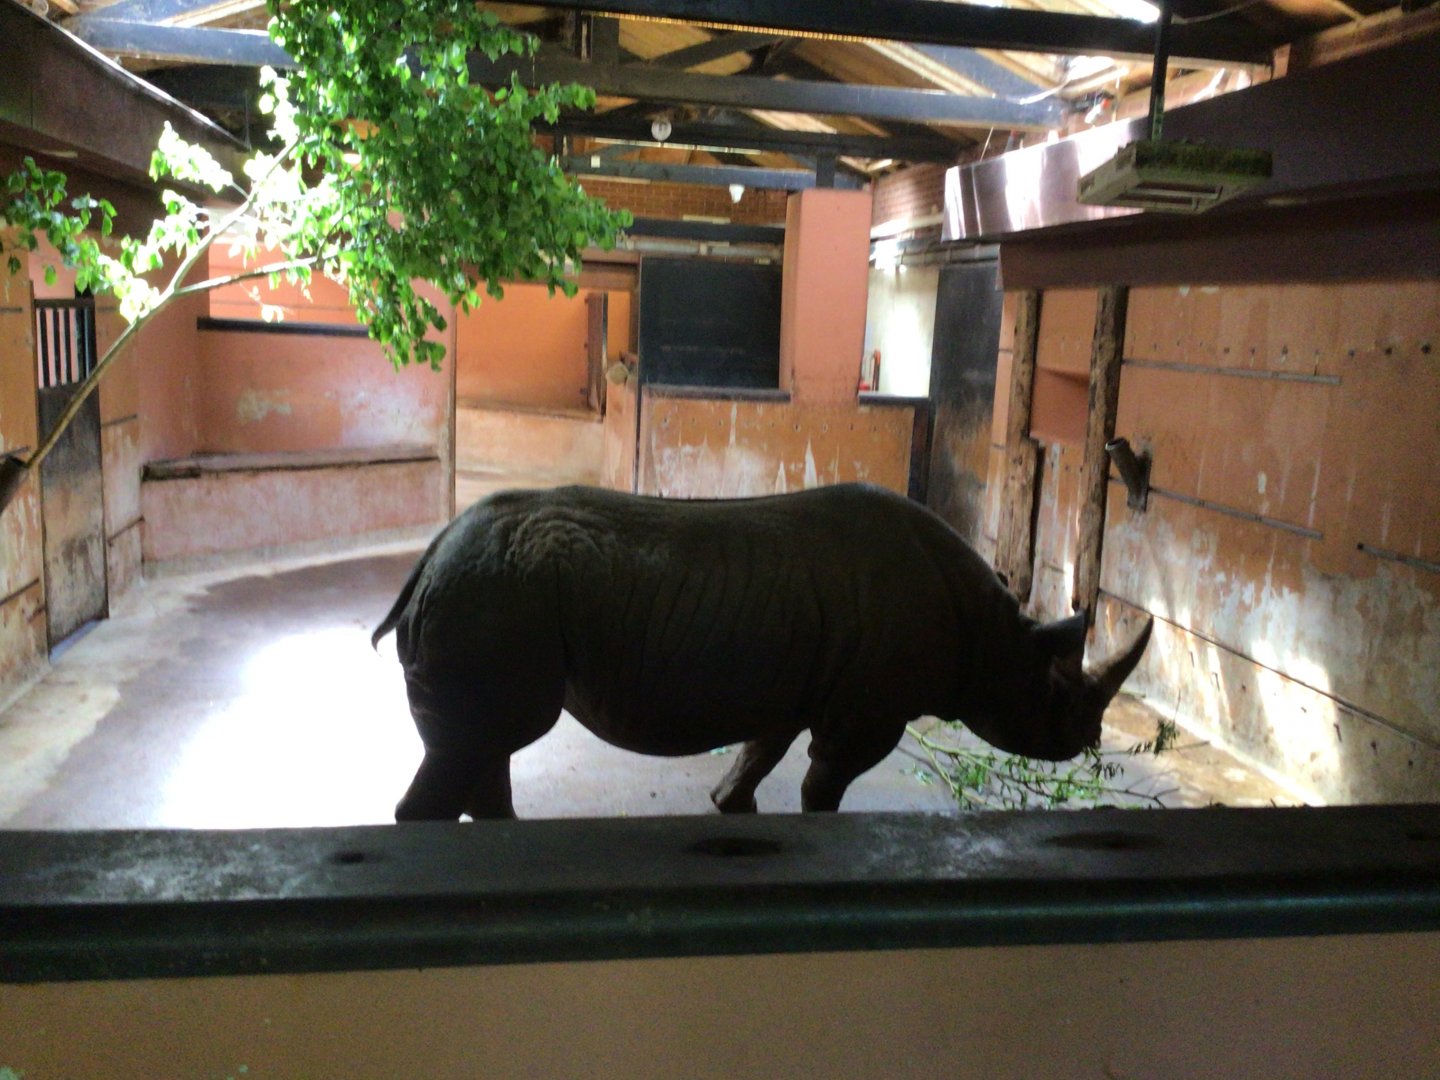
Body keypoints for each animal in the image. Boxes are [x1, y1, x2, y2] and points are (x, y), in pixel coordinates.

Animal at [372, 483, 1153, 820]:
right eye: (1053, 697)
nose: (1091, 738)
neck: (993, 635)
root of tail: (429, 559)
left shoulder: (794, 684)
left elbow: (758, 755)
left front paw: (733, 810)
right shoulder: (867, 712)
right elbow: (823, 784)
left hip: (492, 596)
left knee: (484, 743)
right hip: (495, 598)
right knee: (485, 739)